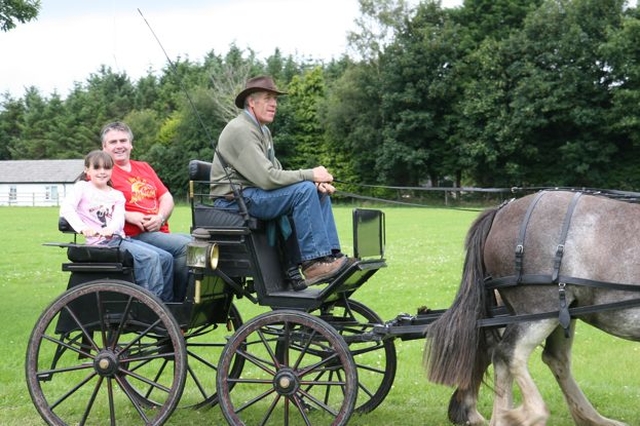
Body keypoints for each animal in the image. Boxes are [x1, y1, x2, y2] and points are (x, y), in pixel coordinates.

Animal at [424, 191, 640, 426]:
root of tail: (500, 212)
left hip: (559, 312)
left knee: (548, 358)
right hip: (537, 311)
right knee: (508, 353)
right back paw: (524, 413)